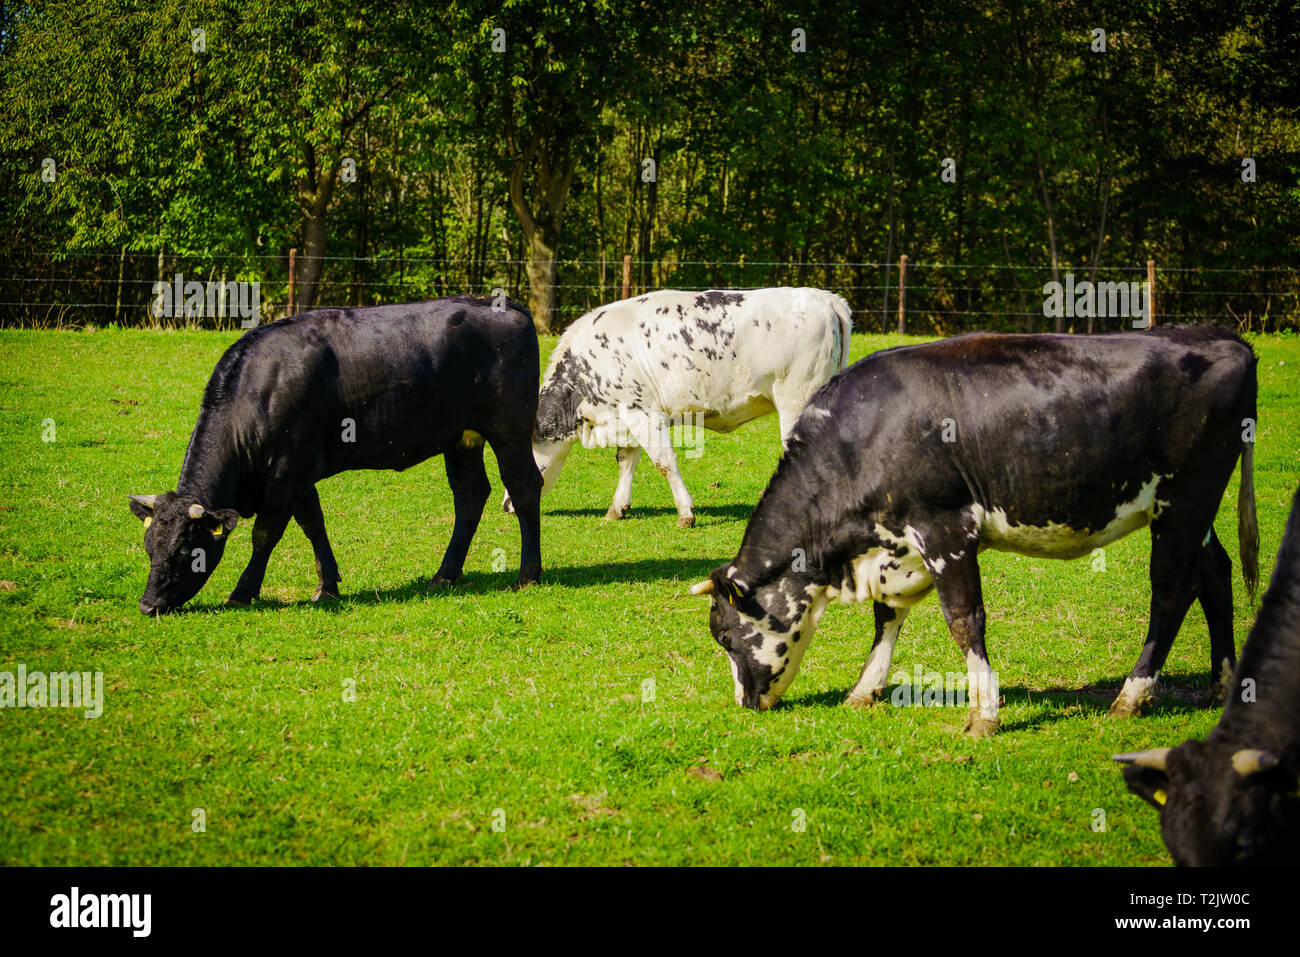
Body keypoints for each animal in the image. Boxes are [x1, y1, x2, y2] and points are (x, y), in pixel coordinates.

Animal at [128, 296, 543, 614]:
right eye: (149, 548)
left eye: (186, 551)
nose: (148, 605)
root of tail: (506, 305)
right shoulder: (298, 473)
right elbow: (314, 524)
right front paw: (327, 585)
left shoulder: (287, 471)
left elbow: (265, 534)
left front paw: (242, 592)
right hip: (461, 439)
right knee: (469, 495)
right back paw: (445, 574)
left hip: (509, 429)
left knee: (523, 486)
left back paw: (528, 574)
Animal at [503, 287, 852, 527]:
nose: (507, 506)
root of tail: (824, 298)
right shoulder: (629, 415)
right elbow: (626, 461)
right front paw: (617, 508)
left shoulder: (641, 413)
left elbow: (664, 461)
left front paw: (686, 513)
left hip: (797, 398)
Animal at [690, 325, 1258, 737]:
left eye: (725, 635)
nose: (744, 703)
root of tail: (1221, 336)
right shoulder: (896, 547)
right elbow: (886, 617)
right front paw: (865, 689)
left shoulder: (944, 529)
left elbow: (964, 621)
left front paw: (984, 714)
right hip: (1191, 511)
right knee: (1215, 573)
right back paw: (1222, 684)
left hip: (1185, 499)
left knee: (1171, 592)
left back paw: (1131, 696)